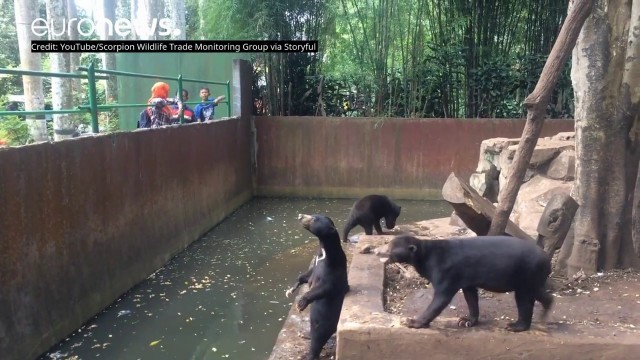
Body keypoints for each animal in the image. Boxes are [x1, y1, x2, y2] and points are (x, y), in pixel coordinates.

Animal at [288, 214, 350, 360]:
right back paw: (304, 334)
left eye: (314, 219)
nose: (300, 215)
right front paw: (290, 290)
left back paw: (309, 354)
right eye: (313, 214)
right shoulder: (316, 265)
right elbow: (306, 276)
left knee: (317, 341)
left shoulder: (332, 272)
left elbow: (323, 289)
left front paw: (300, 304)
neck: (323, 254)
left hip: (323, 324)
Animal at [378, 233, 552, 332]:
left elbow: (439, 301)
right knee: (542, 295)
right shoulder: (467, 281)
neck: (425, 255)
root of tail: (547, 259)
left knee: (525, 302)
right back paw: (545, 312)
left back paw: (515, 326)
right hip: (531, 280)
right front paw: (466, 321)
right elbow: (471, 299)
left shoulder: (446, 274)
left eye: (391, 248)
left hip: (526, 276)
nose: (378, 251)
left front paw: (412, 322)